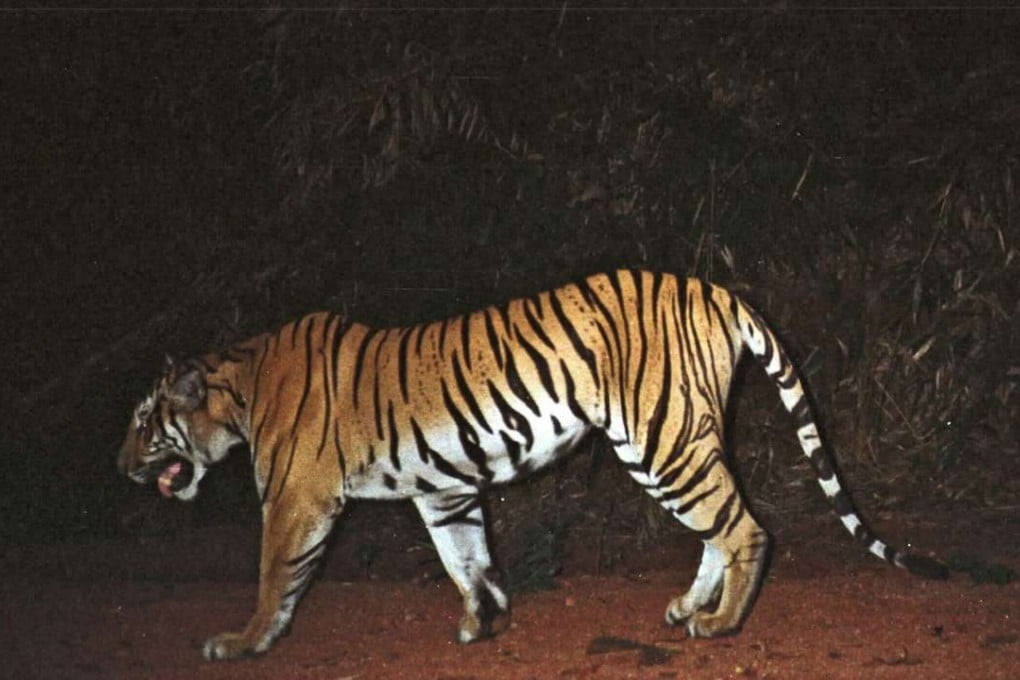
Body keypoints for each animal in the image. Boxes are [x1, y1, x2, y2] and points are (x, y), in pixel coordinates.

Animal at [117, 270, 947, 661]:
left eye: (141, 423)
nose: (119, 464)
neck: (240, 386)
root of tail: (713, 288)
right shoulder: (444, 489)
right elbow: (465, 556)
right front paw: (483, 622)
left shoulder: (296, 498)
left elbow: (273, 578)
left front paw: (244, 642)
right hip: (667, 444)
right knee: (719, 526)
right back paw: (689, 608)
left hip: (663, 438)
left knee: (745, 530)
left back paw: (721, 625)